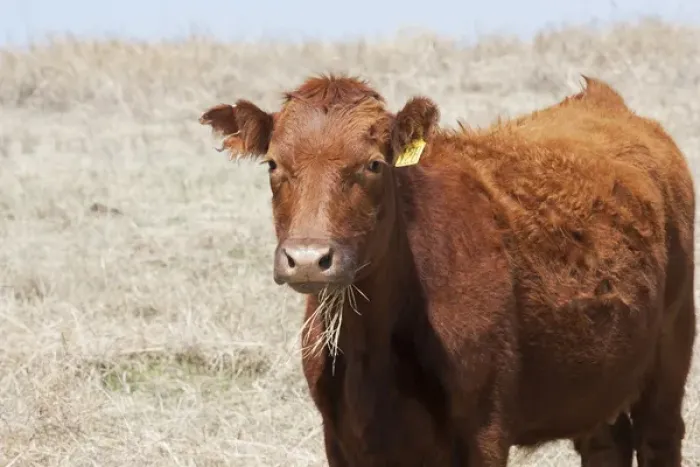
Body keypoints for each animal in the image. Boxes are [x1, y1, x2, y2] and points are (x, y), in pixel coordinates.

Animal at [199, 74, 696, 466]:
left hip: (671, 351)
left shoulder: (484, 431)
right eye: (273, 163)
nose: (307, 258)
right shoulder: (340, 437)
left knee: (659, 437)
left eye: (373, 164)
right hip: (597, 380)